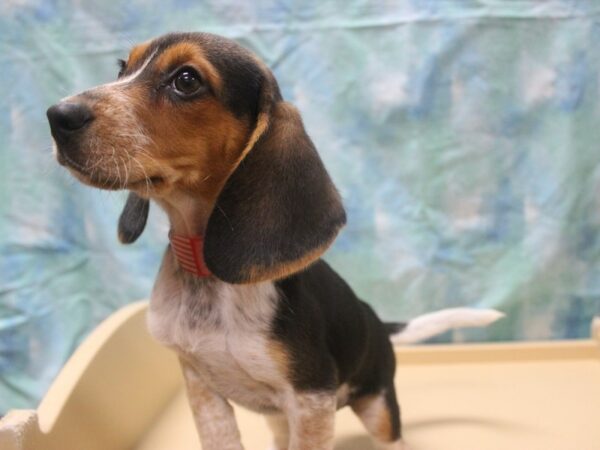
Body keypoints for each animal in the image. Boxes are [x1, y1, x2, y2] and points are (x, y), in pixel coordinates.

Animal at [48, 32, 502, 450]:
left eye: (186, 80)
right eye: (122, 68)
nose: (57, 115)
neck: (204, 267)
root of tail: (374, 318)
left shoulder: (310, 398)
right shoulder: (201, 386)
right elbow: (220, 439)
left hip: (376, 406)